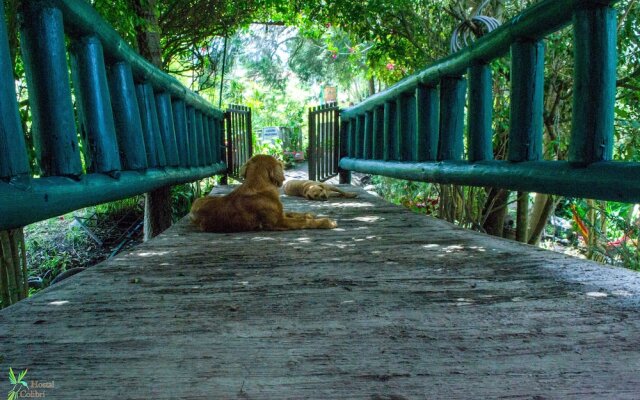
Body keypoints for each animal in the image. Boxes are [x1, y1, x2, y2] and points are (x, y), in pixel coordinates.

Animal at [190, 155, 340, 233]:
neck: (257, 186)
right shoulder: (279, 221)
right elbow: (304, 222)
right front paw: (326, 222)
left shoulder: (280, 213)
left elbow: (293, 213)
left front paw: (308, 214)